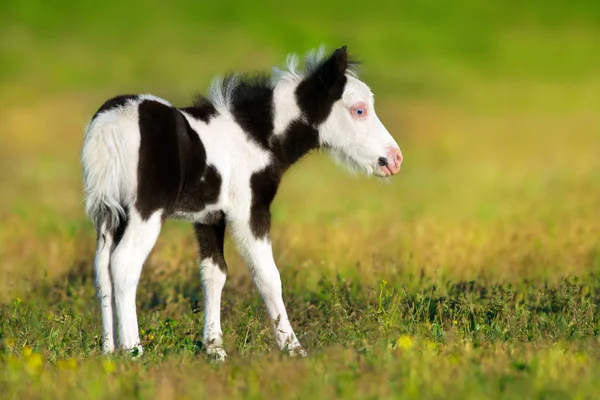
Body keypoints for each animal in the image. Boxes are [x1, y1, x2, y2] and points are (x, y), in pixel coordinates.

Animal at [82, 47, 404, 360]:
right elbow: (268, 276)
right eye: (359, 110)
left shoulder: (209, 217)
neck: (255, 138)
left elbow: (214, 273)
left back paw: (108, 350)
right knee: (124, 263)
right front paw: (292, 347)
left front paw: (215, 349)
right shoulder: (250, 210)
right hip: (145, 210)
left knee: (102, 268)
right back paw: (133, 350)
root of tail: (109, 128)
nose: (394, 159)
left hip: (111, 213)